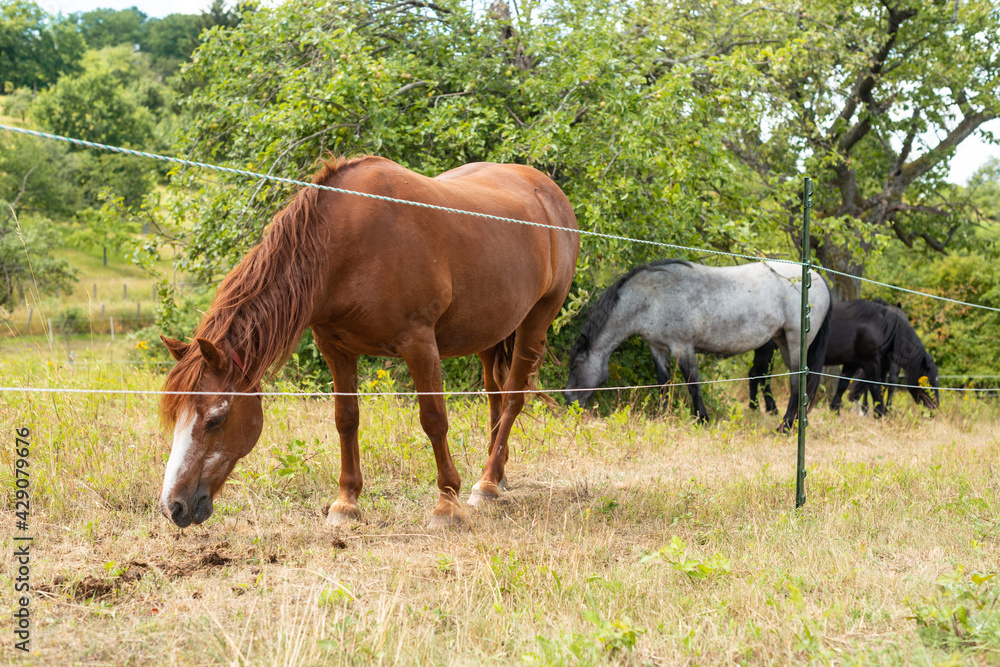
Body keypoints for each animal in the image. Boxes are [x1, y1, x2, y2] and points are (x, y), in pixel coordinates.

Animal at [158, 156, 580, 529]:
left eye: (216, 418)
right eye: (176, 417)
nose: (173, 506)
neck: (346, 247)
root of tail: (549, 192)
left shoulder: (419, 343)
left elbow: (434, 420)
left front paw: (447, 505)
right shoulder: (335, 348)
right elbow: (346, 420)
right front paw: (346, 504)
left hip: (536, 321)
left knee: (513, 398)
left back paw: (488, 483)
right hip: (491, 331)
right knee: (495, 396)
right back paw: (497, 475)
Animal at [563, 259, 832, 431]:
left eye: (574, 366)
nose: (568, 402)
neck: (653, 297)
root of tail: (817, 278)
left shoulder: (682, 346)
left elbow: (693, 384)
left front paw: (702, 419)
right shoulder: (657, 348)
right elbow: (663, 383)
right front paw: (663, 417)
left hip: (795, 341)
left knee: (796, 382)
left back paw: (785, 427)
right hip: (782, 340)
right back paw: (795, 423)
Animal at [747, 299, 939, 415]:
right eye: (927, 381)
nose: (936, 408)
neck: (880, 327)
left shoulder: (852, 364)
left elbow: (842, 386)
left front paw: (835, 410)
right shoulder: (871, 363)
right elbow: (875, 387)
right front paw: (881, 413)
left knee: (761, 377)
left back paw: (765, 408)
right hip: (766, 352)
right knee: (757, 376)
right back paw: (759, 408)